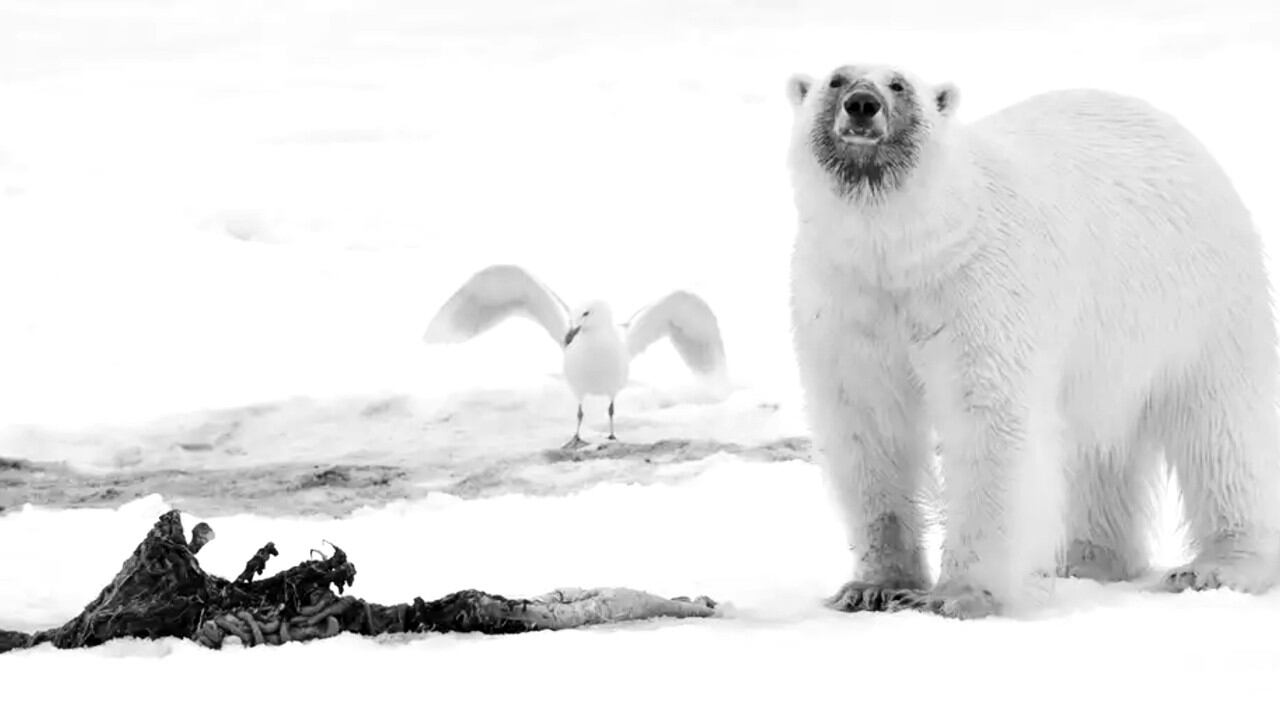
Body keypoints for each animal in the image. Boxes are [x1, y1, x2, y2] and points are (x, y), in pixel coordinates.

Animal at [784, 63, 1280, 619]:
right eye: (836, 79)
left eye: (897, 84)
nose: (862, 105)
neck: (905, 252)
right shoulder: (846, 301)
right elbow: (867, 426)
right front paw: (872, 587)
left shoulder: (978, 290)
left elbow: (988, 420)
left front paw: (960, 595)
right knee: (1094, 448)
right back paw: (1086, 558)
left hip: (1199, 302)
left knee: (1220, 427)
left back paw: (1218, 565)